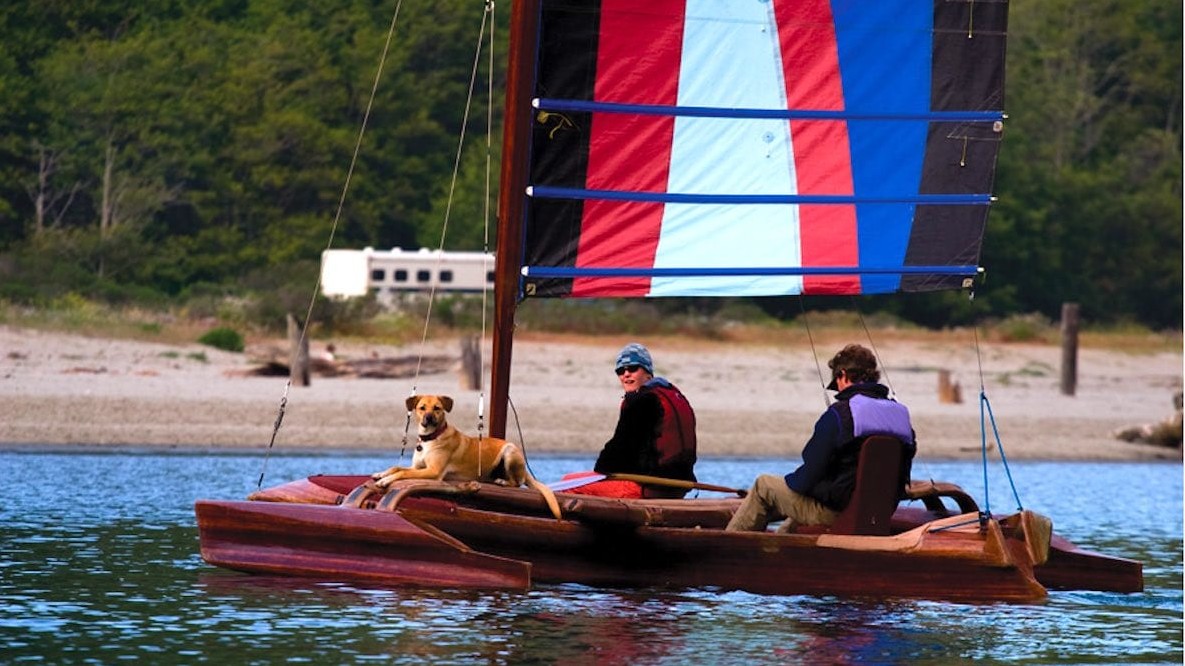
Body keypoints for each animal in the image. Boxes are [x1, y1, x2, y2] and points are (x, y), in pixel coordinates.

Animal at [374, 393, 564, 519]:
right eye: (422, 408)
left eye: (437, 408)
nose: (428, 418)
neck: (431, 438)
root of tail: (524, 468)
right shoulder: (418, 467)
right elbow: (396, 467)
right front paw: (381, 474)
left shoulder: (433, 471)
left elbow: (402, 472)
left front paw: (385, 480)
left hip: (510, 452)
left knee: (517, 483)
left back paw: (503, 481)